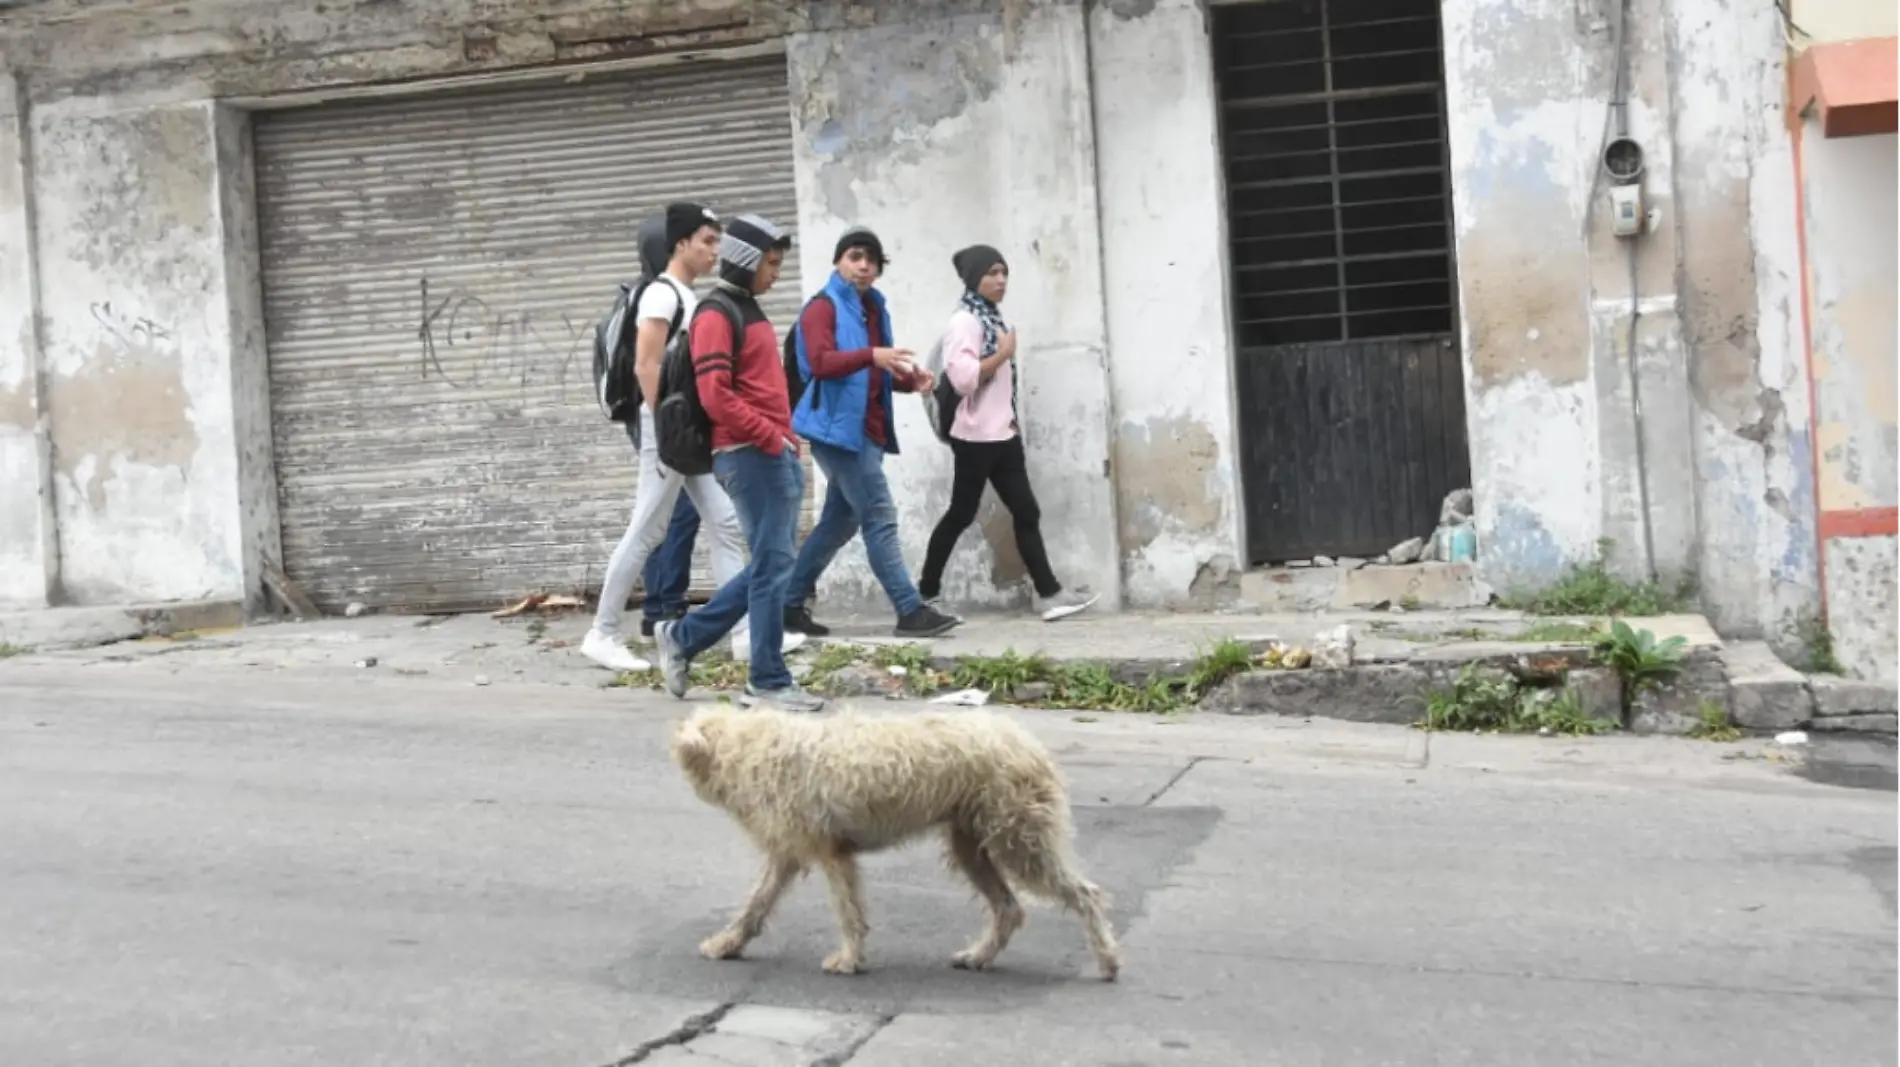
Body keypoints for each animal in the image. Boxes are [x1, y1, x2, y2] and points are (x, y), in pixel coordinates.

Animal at [668, 702, 1117, 979]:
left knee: (1085, 894)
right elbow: (756, 904)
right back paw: (979, 955)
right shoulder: (790, 852)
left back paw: (1108, 960)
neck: (747, 747)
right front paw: (728, 943)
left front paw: (849, 960)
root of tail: (1027, 741)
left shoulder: (831, 853)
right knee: (1009, 909)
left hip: (1020, 841)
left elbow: (848, 911)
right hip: (971, 845)